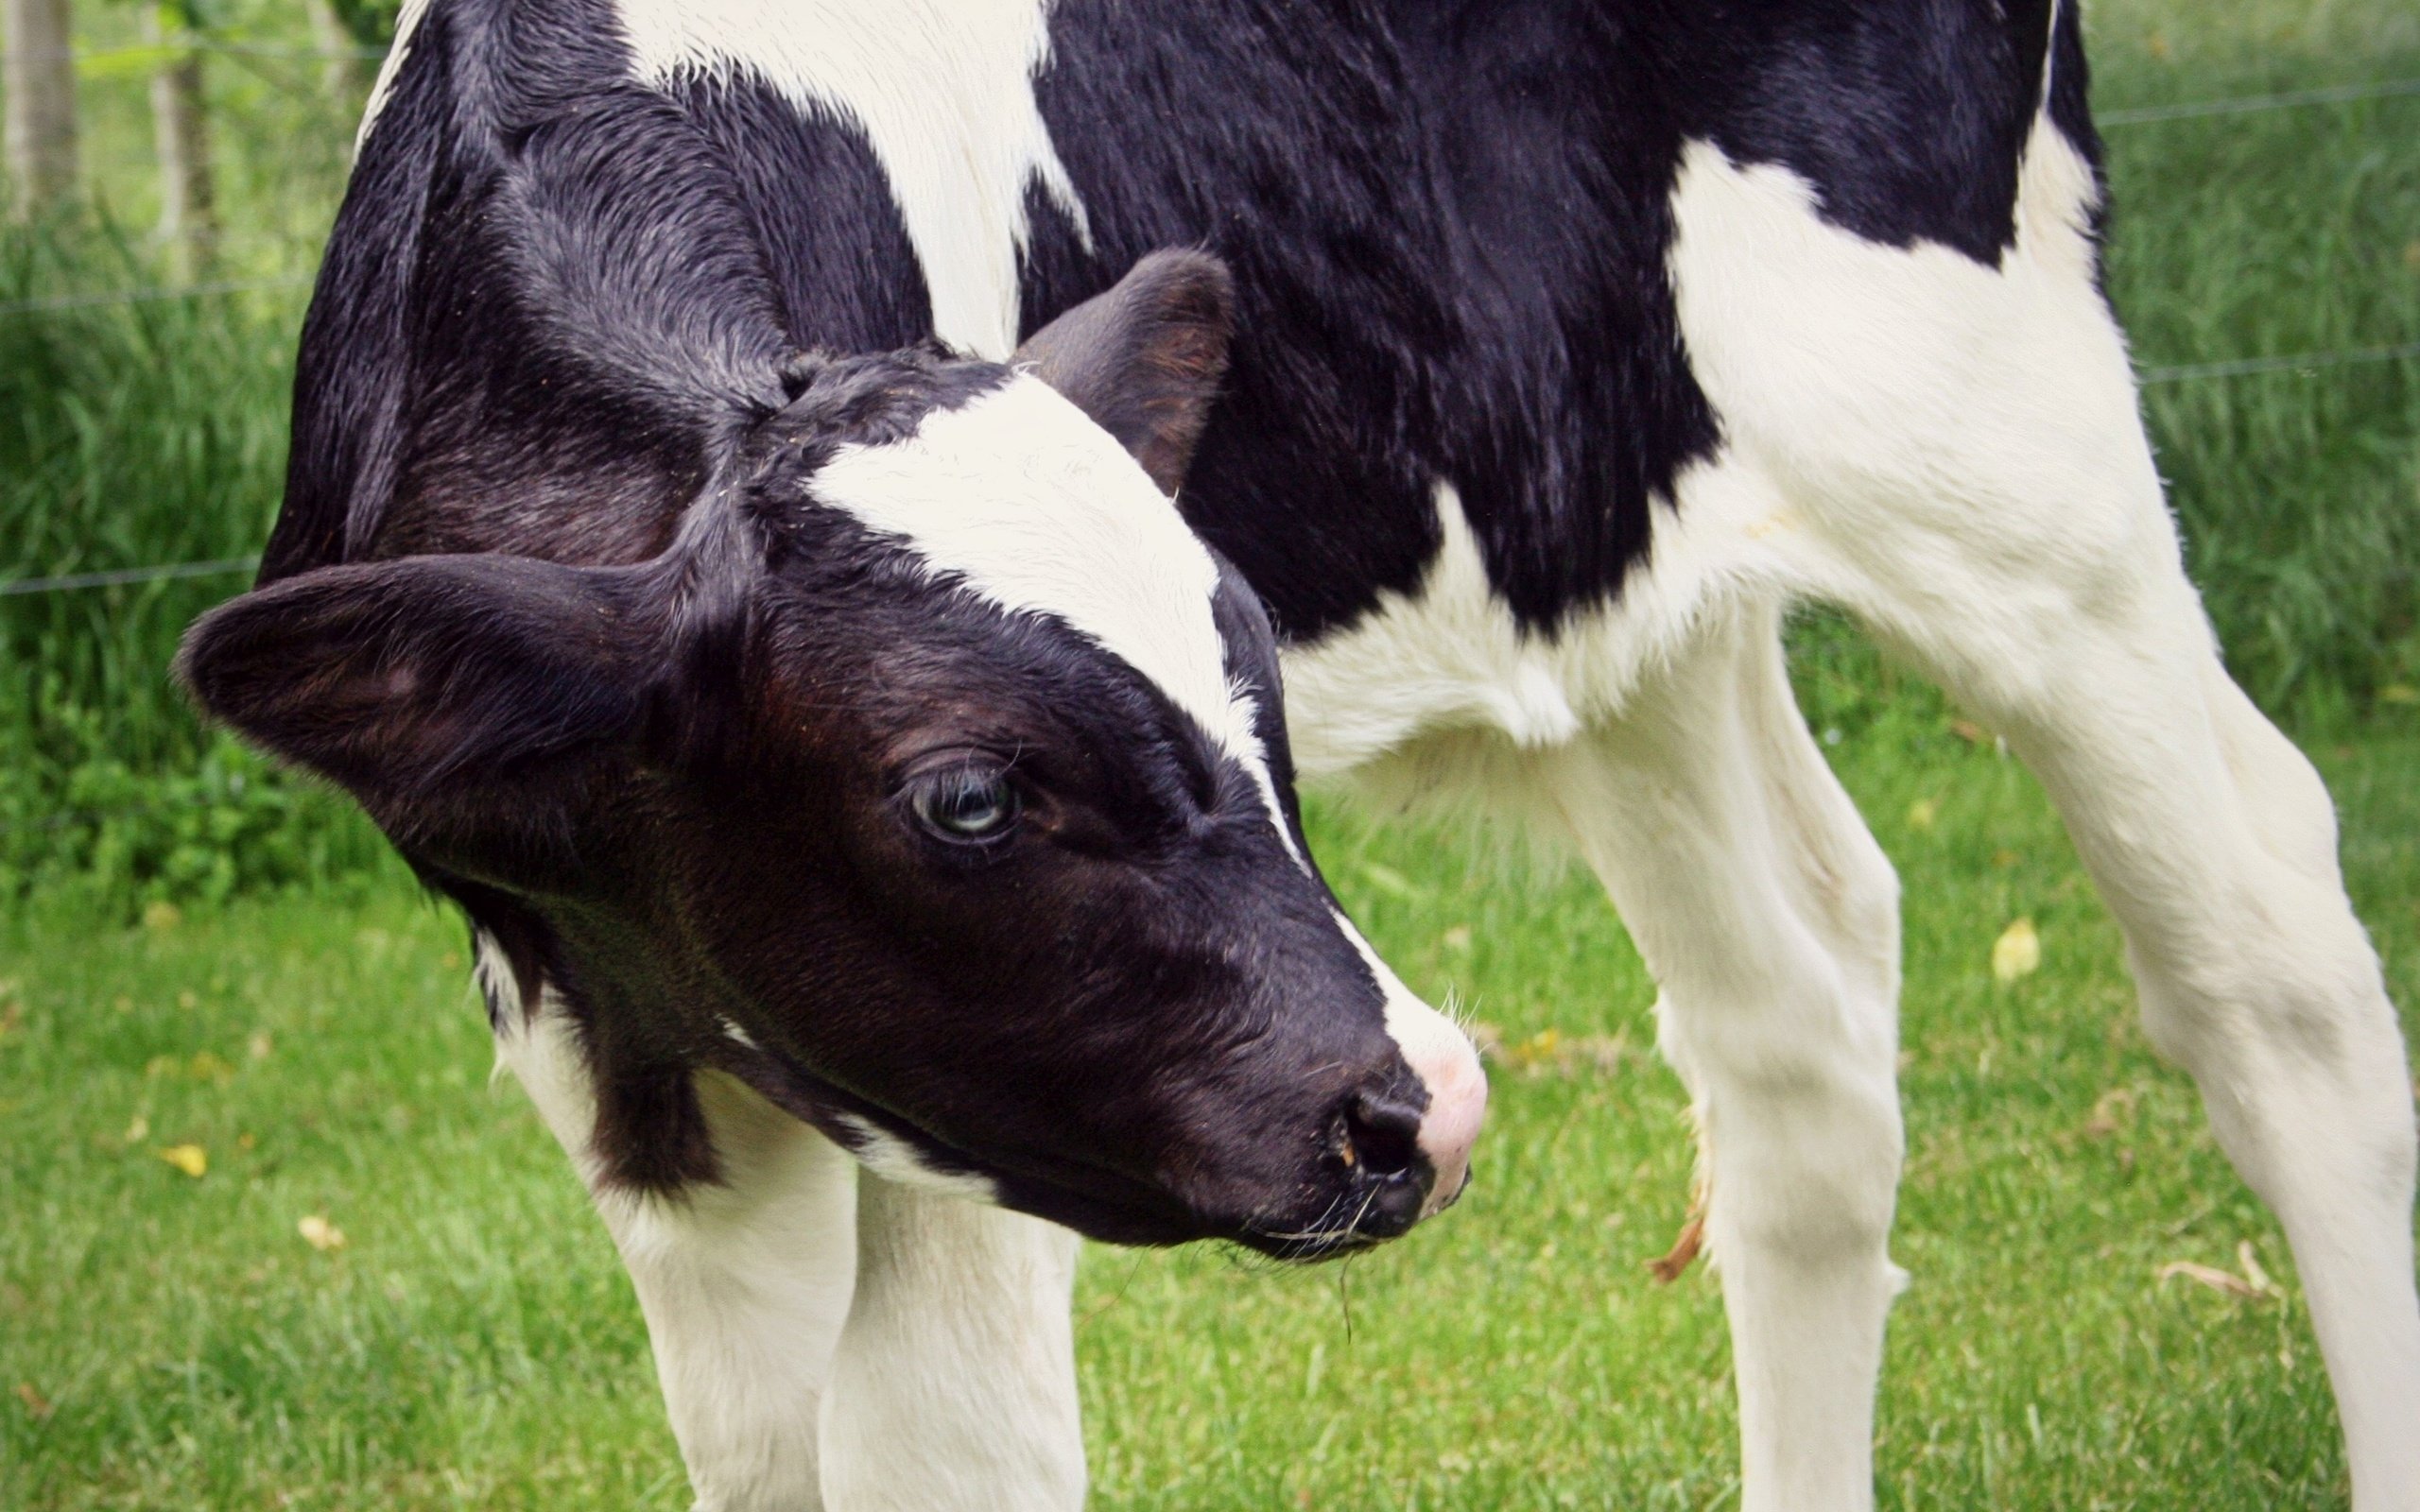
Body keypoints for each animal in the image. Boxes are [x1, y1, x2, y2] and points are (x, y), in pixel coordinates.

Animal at [183, 0, 2420, 1500]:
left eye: (1251, 671)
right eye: (965, 794)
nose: (1421, 1105)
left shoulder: (967, 1143)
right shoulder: (614, 1044)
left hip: (1999, 451)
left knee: (2267, 955)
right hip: (1610, 568)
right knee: (1790, 1016)